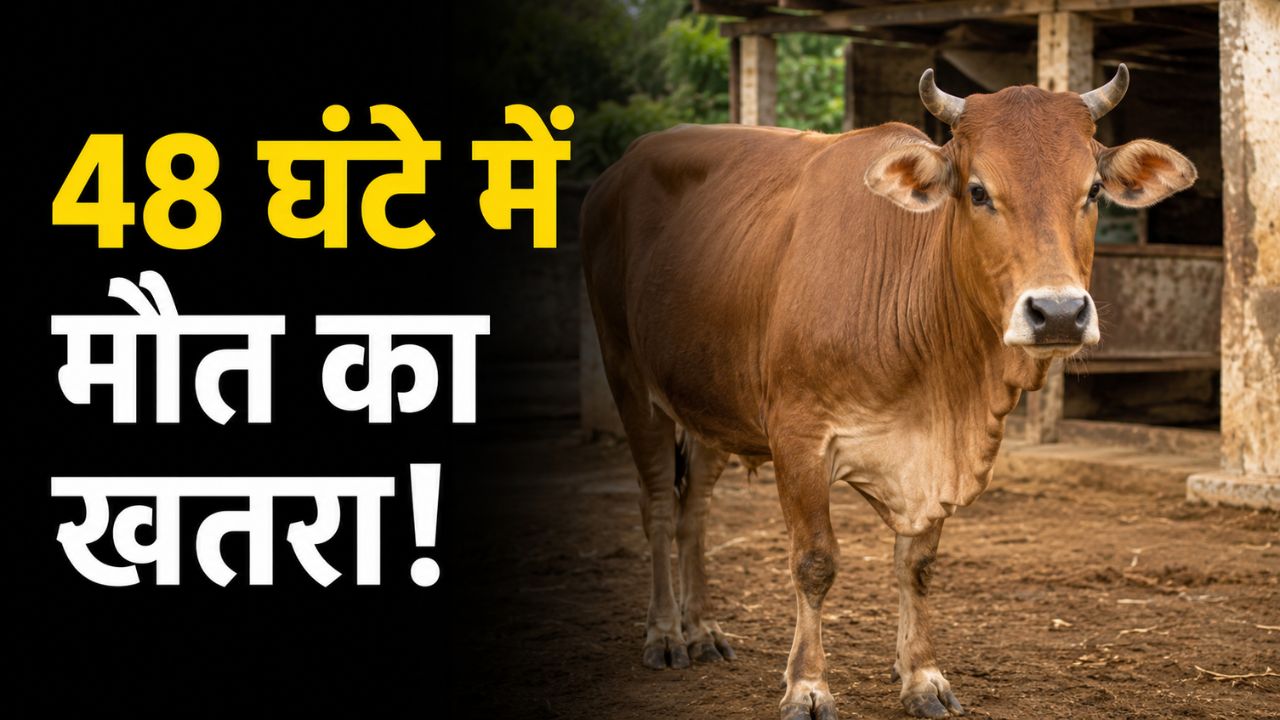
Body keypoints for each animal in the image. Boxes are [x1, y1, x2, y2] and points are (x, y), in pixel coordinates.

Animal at [579, 66, 1196, 719]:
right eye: (978, 191)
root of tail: (617, 173)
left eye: (1094, 191)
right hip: (629, 380)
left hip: (708, 403)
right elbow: (814, 562)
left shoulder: (931, 460)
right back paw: (666, 634)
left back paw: (701, 630)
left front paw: (922, 675)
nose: (1057, 313)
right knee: (657, 504)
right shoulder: (798, 439)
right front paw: (807, 686)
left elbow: (917, 565)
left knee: (694, 507)